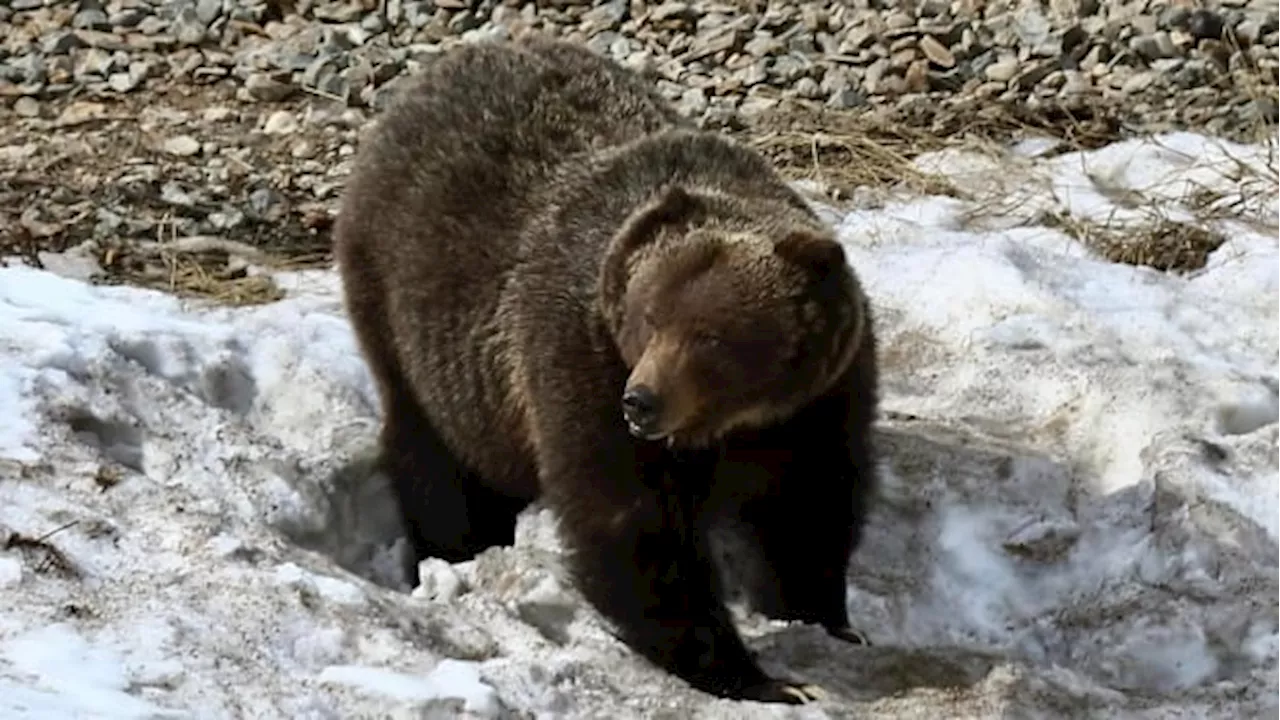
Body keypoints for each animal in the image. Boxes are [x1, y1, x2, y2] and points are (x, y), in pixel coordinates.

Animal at [332, 36, 880, 702]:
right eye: (649, 316)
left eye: (710, 336)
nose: (641, 400)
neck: (732, 422)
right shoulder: (581, 364)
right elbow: (634, 527)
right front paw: (751, 676)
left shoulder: (818, 401)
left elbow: (809, 507)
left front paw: (827, 621)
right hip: (406, 315)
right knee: (435, 455)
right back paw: (455, 547)